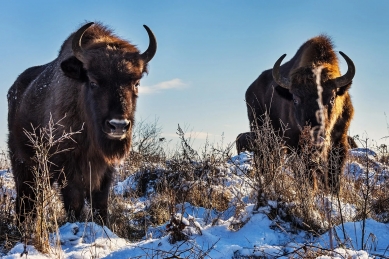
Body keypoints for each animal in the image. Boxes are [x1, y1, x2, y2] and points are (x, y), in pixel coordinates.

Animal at [7, 21, 157, 223]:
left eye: (136, 83)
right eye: (93, 82)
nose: (118, 125)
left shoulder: (105, 169)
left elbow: (100, 202)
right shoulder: (68, 167)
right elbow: (75, 201)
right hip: (23, 163)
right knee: (26, 197)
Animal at [246, 34, 354, 193]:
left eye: (332, 98)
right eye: (295, 99)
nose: (315, 136)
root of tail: (250, 89)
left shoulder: (339, 140)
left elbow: (334, 175)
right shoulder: (296, 145)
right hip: (262, 135)